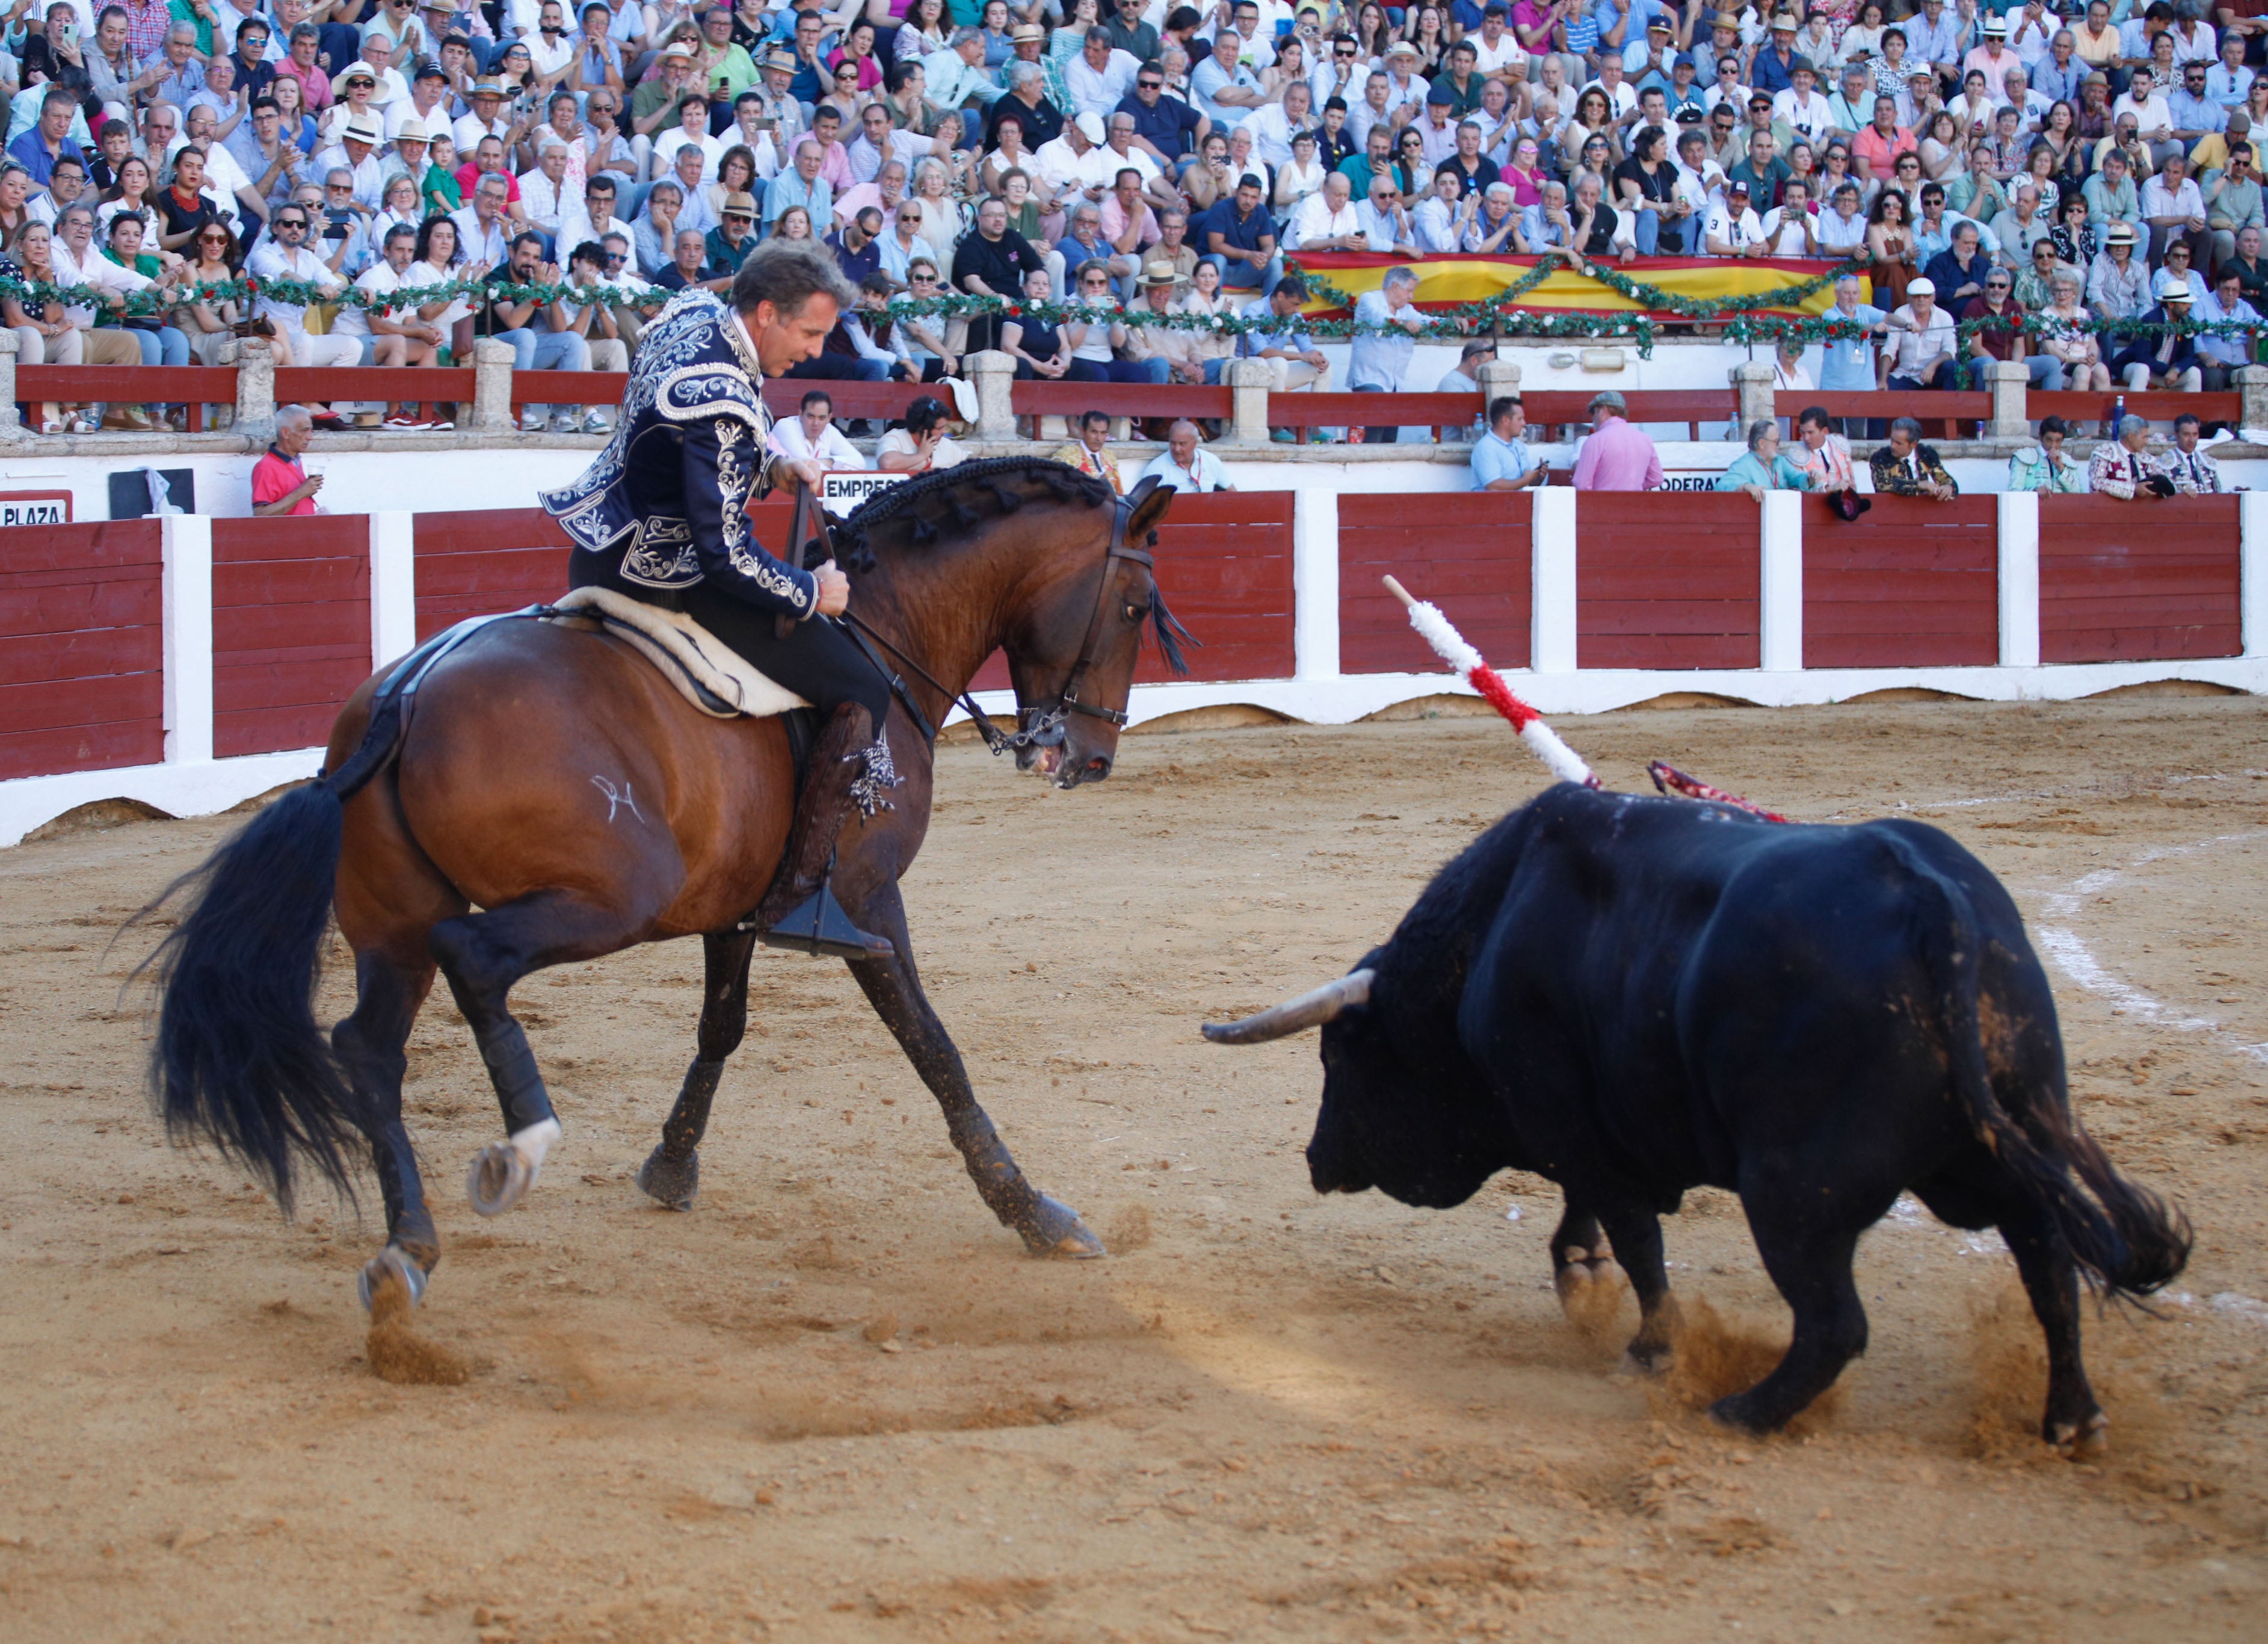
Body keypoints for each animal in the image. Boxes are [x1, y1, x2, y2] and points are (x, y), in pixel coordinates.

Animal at [144, 463, 1188, 1306]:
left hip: (393, 929)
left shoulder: (736, 908)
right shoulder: (868, 901)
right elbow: (934, 1049)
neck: (884, 637)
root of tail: (404, 695)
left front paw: (671, 1164)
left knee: (368, 1045)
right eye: (1137, 607)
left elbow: (721, 1028)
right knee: (473, 959)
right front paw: (1034, 1211)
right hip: (607, 898)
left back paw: (409, 1247)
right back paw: (520, 1145)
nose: (1088, 756)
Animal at [1206, 784, 2177, 1451]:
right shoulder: (1587, 1126)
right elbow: (1595, 1214)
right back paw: (2071, 1419)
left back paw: (1739, 1410)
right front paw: (1582, 1275)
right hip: (2010, 1148)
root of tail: (1933, 900)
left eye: (1340, 1056)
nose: (1316, 1159)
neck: (1488, 937)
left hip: (1792, 1191)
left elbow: (1636, 1233)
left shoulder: (1564, 1116)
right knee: (2049, 1270)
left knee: (1836, 1323)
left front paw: (1647, 1347)